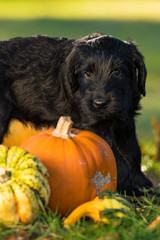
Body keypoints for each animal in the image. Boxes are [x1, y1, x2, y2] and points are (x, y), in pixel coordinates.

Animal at [0, 33, 152, 195]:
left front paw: (141, 181)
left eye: (117, 72)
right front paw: (131, 190)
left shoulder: (126, 122)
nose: (100, 103)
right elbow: (117, 159)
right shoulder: (97, 126)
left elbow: (133, 151)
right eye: (87, 73)